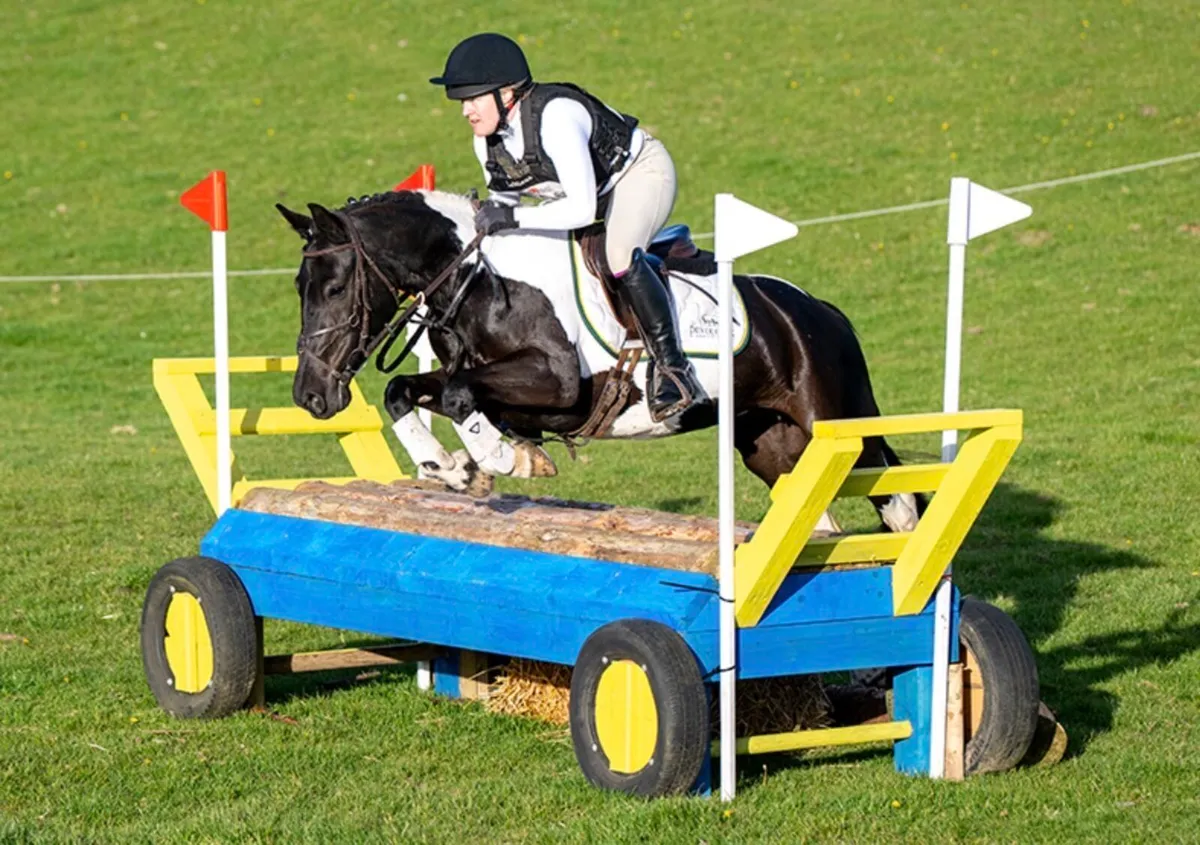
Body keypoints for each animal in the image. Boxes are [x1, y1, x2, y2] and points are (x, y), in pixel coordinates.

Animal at [276, 189, 920, 533]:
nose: (310, 397)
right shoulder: (488, 382)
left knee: (898, 500)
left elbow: (460, 395)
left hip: (837, 424)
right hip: (773, 444)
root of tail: (820, 311)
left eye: (335, 288)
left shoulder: (558, 387)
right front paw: (451, 468)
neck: (479, 279)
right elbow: (408, 392)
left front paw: (505, 459)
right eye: (298, 287)